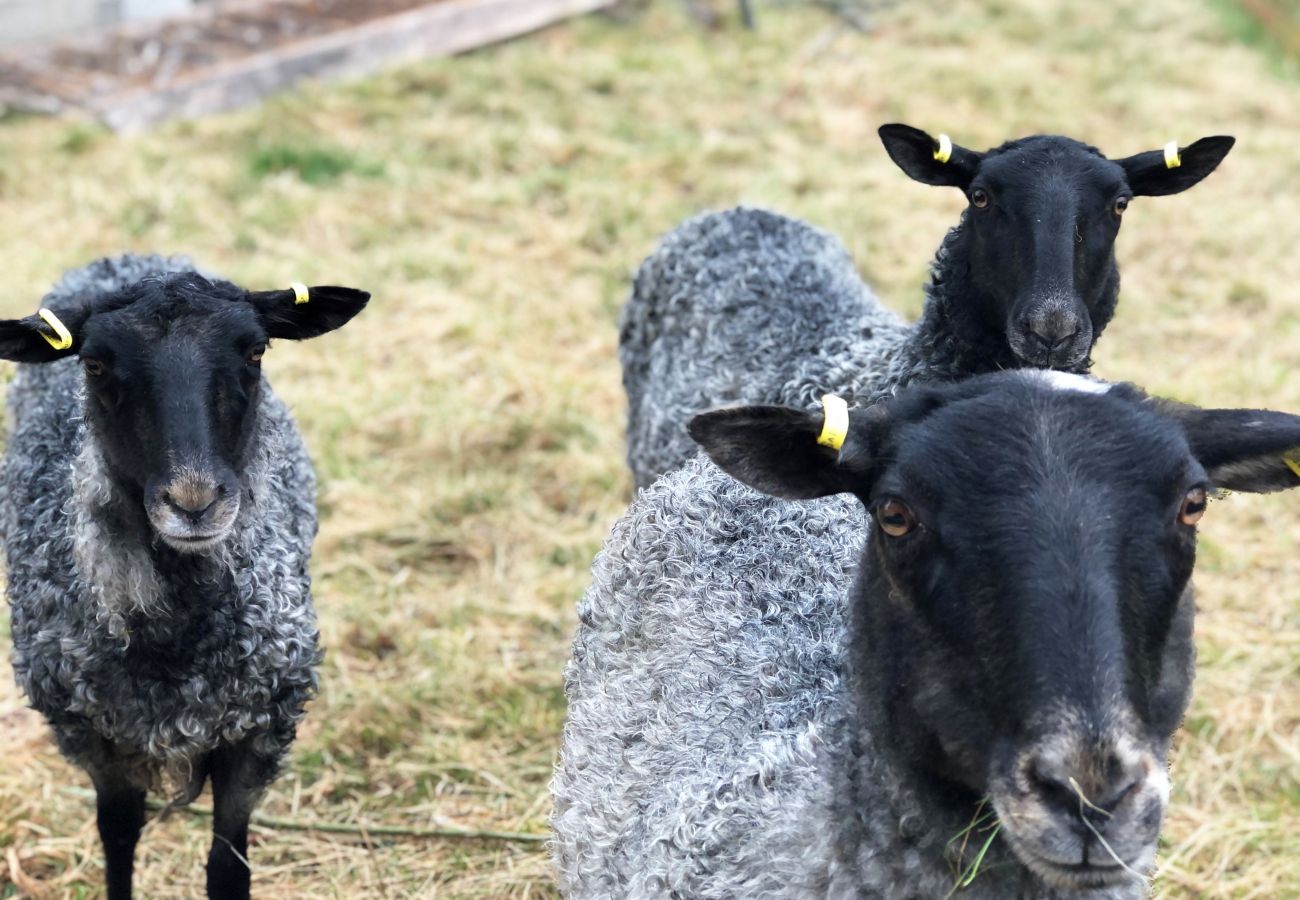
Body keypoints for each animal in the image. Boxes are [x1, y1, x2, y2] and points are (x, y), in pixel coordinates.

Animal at [0, 254, 369, 900]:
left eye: (256, 352)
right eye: (94, 363)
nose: (194, 503)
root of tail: (127, 256)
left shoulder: (259, 728)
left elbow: (228, 866)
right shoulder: (91, 733)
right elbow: (118, 834)